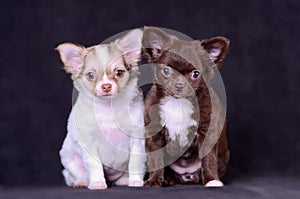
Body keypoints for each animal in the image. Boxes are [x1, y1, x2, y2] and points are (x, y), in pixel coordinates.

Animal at [56, 28, 146, 189]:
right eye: (91, 75)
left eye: (119, 72)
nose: (106, 86)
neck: (108, 108)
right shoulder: (89, 144)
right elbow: (94, 165)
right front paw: (97, 183)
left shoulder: (137, 140)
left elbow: (135, 163)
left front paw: (136, 181)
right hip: (68, 158)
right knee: (72, 175)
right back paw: (82, 181)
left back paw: (125, 180)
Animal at [143, 27, 230, 187]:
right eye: (166, 71)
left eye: (195, 74)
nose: (179, 85)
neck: (177, 103)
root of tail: (187, 177)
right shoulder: (155, 135)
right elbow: (156, 159)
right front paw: (154, 180)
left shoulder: (207, 131)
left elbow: (208, 159)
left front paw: (212, 180)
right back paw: (167, 179)